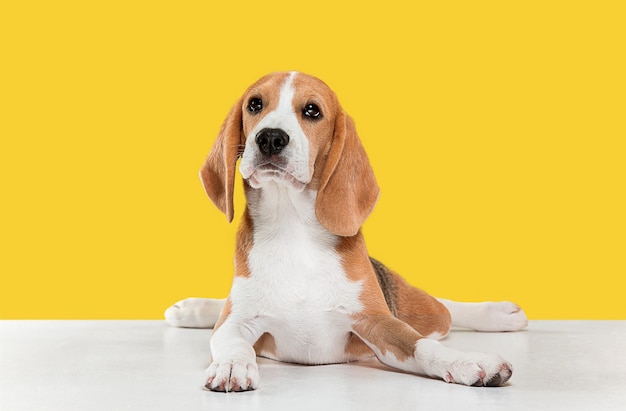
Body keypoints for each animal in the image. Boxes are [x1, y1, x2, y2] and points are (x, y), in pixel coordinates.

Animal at [163, 71, 524, 392]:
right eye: (255, 104)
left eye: (312, 110)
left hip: (421, 309)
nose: (270, 138)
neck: (292, 228)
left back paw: (499, 314)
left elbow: (424, 346)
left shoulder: (376, 320)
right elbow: (232, 342)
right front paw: (231, 365)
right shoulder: (235, 322)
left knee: (444, 310)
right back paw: (193, 309)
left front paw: (468, 362)